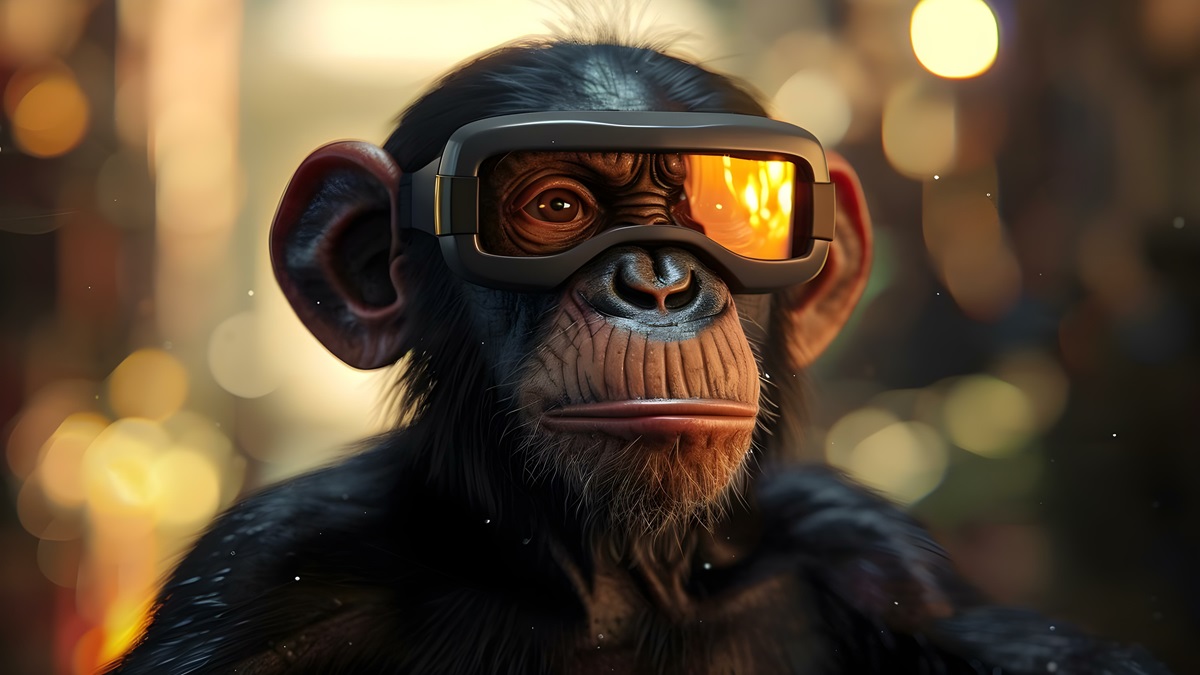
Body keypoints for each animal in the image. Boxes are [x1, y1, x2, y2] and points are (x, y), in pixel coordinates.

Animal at [103, 36, 1172, 675]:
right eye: (556, 207)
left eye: (739, 208)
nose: (658, 281)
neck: (612, 579)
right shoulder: (264, 577)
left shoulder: (888, 563)